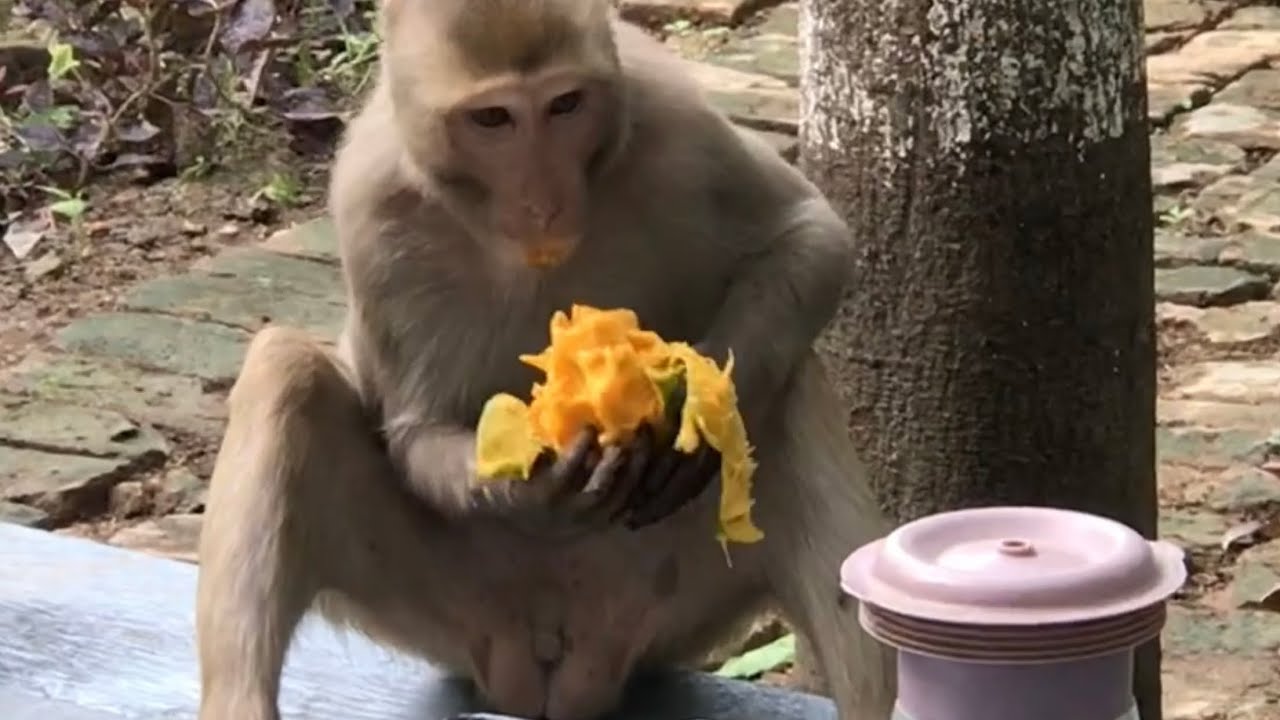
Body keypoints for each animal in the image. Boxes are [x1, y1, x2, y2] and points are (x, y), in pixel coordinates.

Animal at [194, 1, 897, 719]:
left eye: (565, 104)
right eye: (492, 119)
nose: (545, 202)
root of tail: (557, 675)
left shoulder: (672, 111)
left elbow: (810, 236)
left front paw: (689, 429)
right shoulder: (367, 201)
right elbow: (414, 430)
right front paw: (525, 487)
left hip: (660, 610)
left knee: (790, 388)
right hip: (461, 615)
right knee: (285, 373)